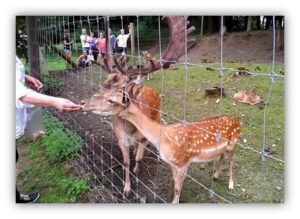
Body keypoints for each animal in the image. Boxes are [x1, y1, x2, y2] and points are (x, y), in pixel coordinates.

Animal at [84, 16, 197, 195]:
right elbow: (126, 161)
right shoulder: (120, 138)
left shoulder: (143, 137)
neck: (130, 131)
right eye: (103, 87)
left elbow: (138, 157)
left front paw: (136, 172)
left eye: (120, 93)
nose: (84, 103)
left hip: (158, 115)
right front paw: (126, 188)